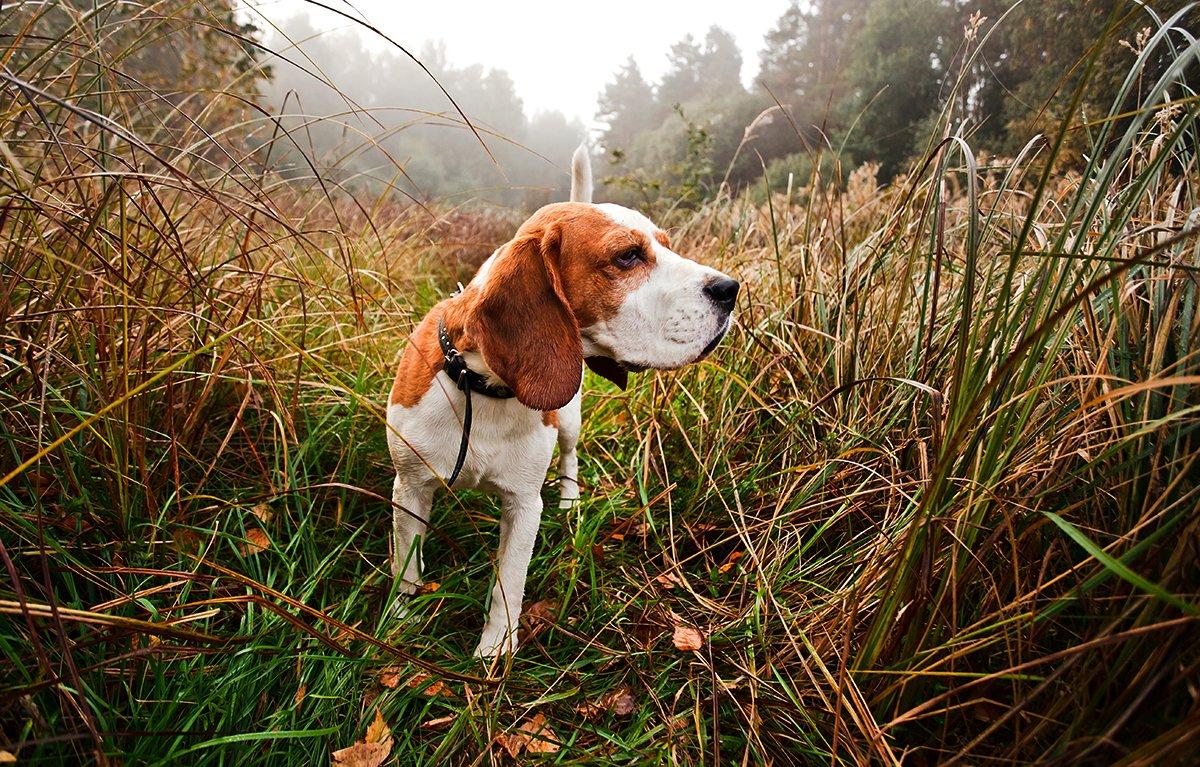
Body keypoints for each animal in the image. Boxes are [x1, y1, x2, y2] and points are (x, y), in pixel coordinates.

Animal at [388, 145, 734, 662]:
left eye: (666, 245)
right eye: (628, 256)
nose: (731, 289)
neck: (485, 387)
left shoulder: (523, 504)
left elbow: (508, 582)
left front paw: (495, 650)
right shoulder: (409, 488)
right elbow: (405, 565)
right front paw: (399, 621)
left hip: (569, 420)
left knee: (570, 456)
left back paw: (570, 501)